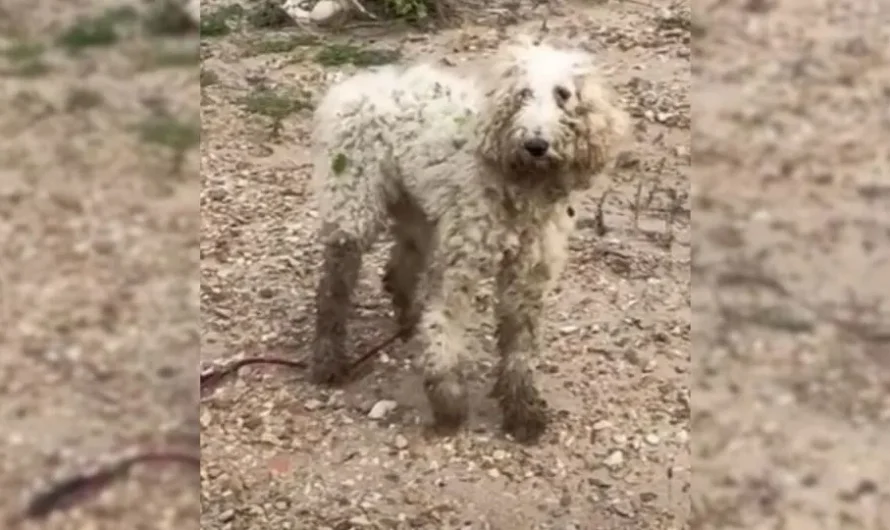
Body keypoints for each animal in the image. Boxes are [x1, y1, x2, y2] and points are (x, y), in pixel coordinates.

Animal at [308, 38, 628, 442]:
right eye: (522, 94)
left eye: (563, 94)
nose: (536, 144)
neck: (518, 184)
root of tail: (353, 85)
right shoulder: (461, 264)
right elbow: (444, 325)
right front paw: (448, 403)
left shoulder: (527, 274)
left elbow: (520, 346)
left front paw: (521, 410)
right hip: (354, 203)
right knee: (333, 289)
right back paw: (329, 359)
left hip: (419, 215)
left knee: (397, 271)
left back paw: (407, 321)